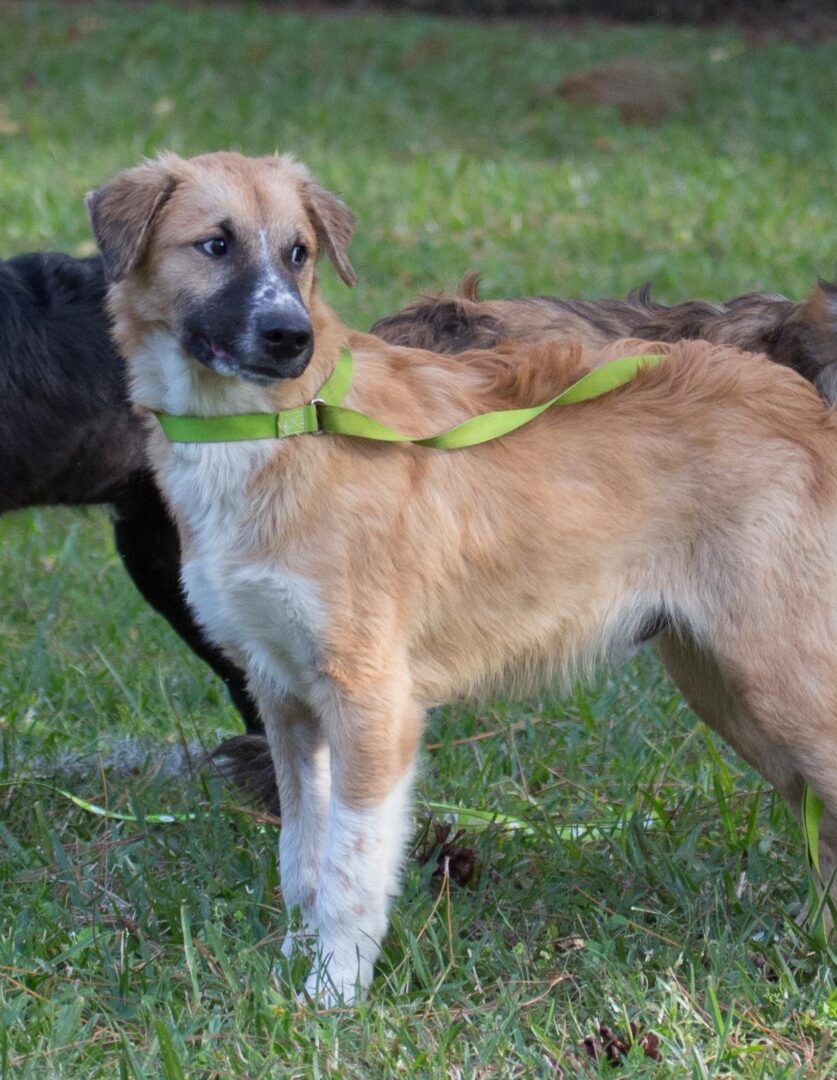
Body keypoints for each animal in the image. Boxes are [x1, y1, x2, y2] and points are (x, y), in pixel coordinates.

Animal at [90, 152, 837, 1002]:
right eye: (214, 245)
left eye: (297, 252)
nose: (290, 339)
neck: (277, 426)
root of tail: (803, 404)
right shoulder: (282, 695)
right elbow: (300, 859)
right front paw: (290, 964)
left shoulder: (371, 700)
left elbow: (350, 867)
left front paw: (332, 992)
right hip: (728, 688)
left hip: (779, 682)